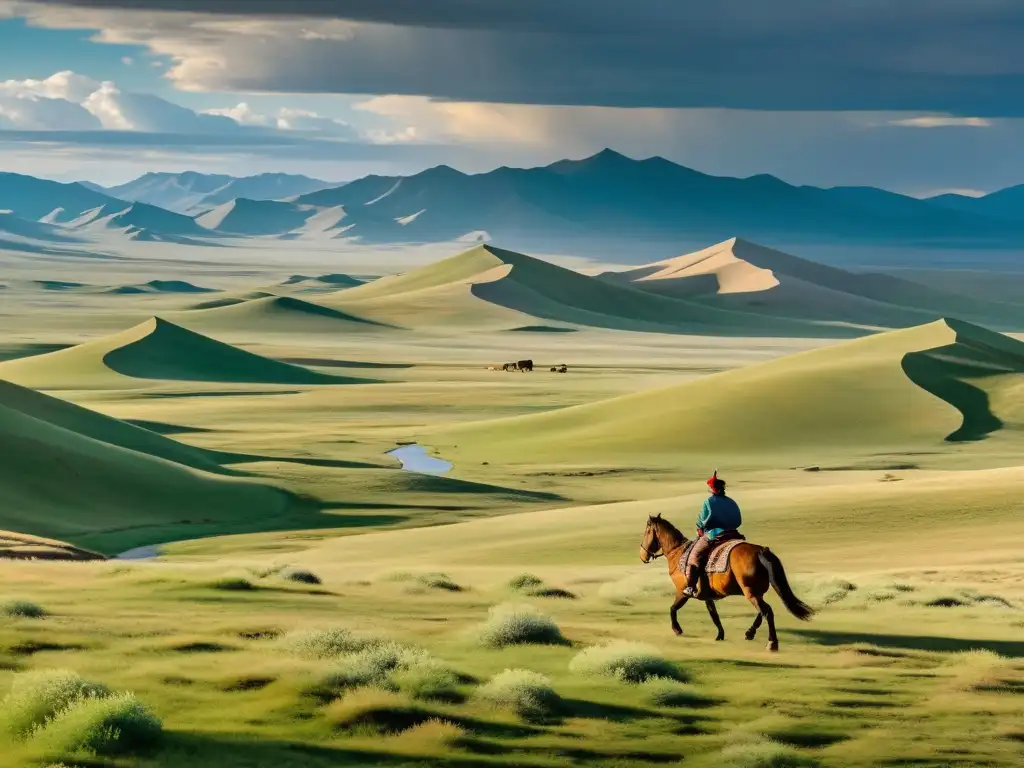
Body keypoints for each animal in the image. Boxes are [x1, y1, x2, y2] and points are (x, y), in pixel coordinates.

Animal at [634, 514, 811, 651]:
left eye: (647, 531)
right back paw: (750, 633)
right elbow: (714, 615)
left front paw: (677, 629)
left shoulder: (683, 591)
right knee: (762, 612)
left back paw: (771, 642)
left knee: (767, 611)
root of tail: (761, 550)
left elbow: (673, 609)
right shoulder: (707, 596)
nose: (642, 555)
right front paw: (720, 635)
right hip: (755, 592)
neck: (677, 552)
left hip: (750, 592)